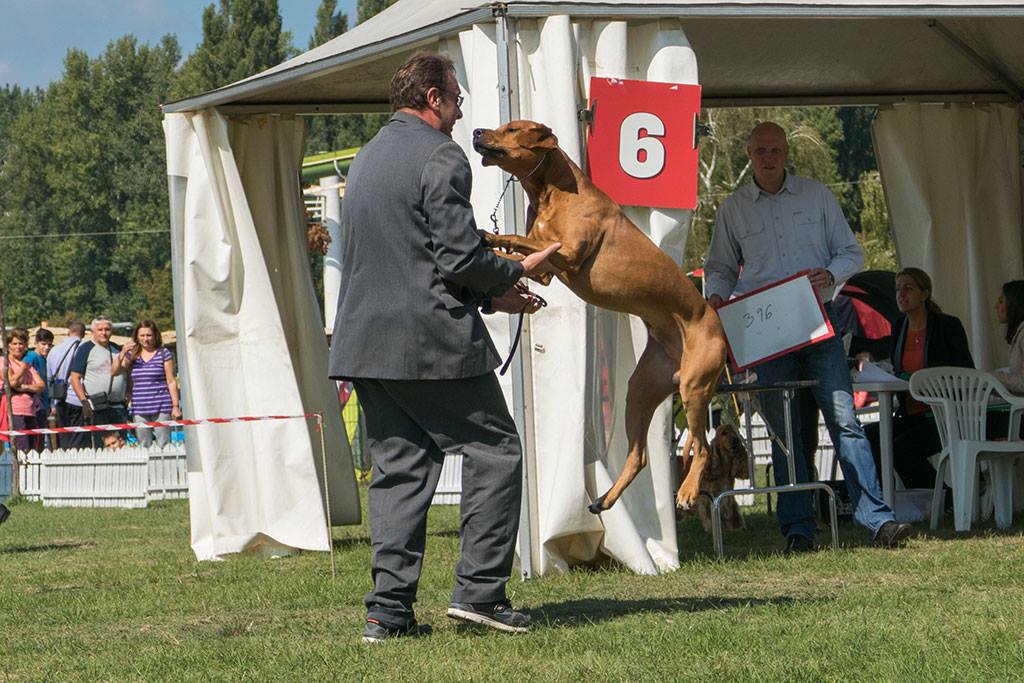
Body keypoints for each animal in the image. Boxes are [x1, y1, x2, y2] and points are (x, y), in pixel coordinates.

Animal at [471, 120, 729, 511]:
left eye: (512, 129)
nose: (475, 131)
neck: (550, 191)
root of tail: (719, 328)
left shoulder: (566, 253)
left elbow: (517, 239)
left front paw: (488, 236)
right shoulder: (545, 270)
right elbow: (520, 254)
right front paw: (489, 244)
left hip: (694, 386)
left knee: (702, 447)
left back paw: (685, 493)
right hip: (641, 390)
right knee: (639, 455)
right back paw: (604, 500)